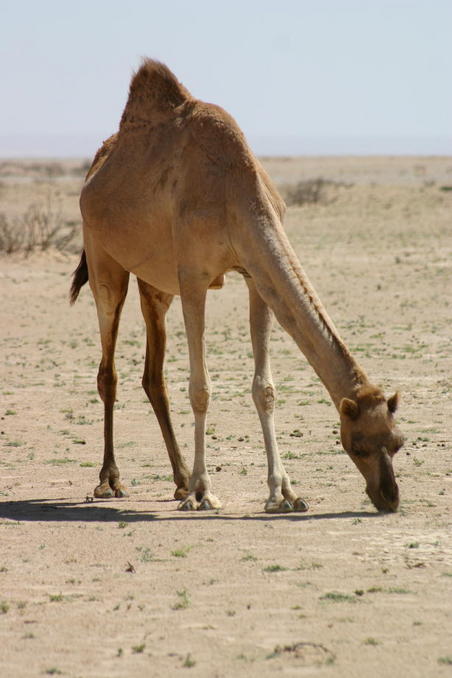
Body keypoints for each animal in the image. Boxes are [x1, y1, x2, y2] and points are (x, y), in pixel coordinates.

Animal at [69, 59, 402, 516]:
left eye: (398, 442)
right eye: (359, 445)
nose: (390, 497)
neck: (236, 191)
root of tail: (95, 169)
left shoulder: (252, 275)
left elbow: (265, 389)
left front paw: (283, 494)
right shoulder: (193, 276)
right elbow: (201, 387)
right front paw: (202, 492)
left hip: (155, 285)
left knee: (154, 376)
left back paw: (177, 481)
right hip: (104, 257)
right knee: (109, 367)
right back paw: (111, 481)